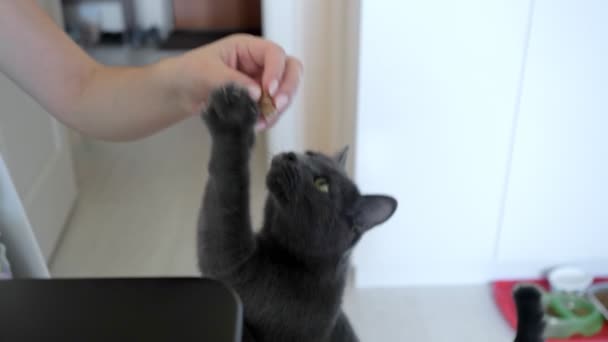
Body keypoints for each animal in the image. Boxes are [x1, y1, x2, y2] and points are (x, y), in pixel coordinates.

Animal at [198, 84, 400, 340]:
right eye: (310, 153)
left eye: (322, 184)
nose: (292, 155)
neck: (303, 265)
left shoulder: (235, 266)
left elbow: (229, 181)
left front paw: (233, 116)